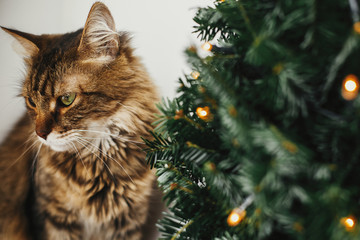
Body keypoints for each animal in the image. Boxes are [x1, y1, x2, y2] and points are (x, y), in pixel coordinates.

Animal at [0, 2, 162, 240]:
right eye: (31, 101)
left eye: (67, 99)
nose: (40, 134)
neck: (99, 163)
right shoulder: (51, 218)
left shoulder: (130, 222)